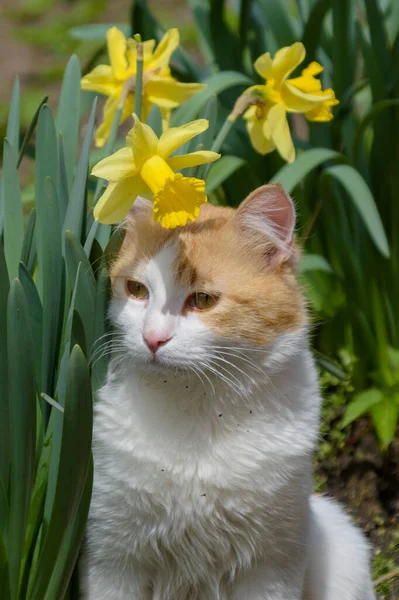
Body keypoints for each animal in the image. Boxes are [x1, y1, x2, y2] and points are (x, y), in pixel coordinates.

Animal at [80, 185, 376, 596]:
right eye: (137, 289)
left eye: (204, 300)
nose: (152, 338)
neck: (199, 408)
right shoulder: (113, 560)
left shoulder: (271, 568)